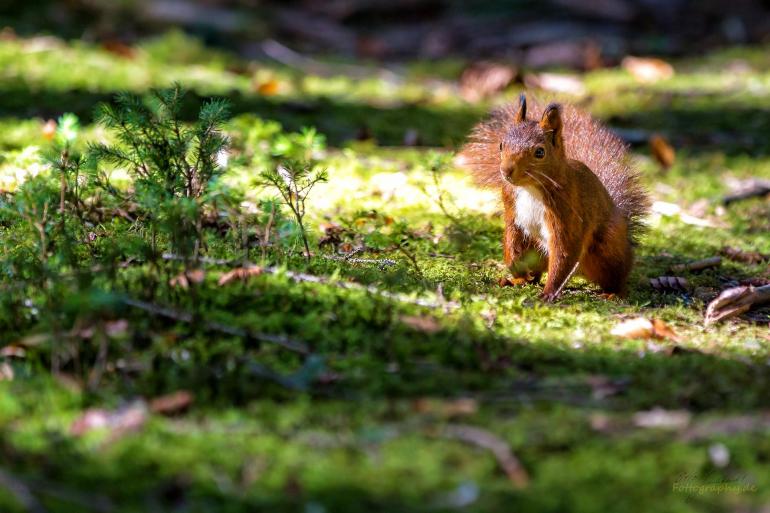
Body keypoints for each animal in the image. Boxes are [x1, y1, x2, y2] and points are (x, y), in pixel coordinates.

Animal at [456, 95, 648, 300]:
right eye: (501, 145)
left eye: (540, 152)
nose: (506, 171)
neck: (530, 188)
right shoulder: (510, 205)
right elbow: (511, 236)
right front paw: (514, 266)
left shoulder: (567, 212)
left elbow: (564, 251)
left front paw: (549, 292)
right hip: (533, 248)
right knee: (534, 274)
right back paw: (516, 280)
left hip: (607, 249)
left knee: (616, 276)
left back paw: (613, 293)